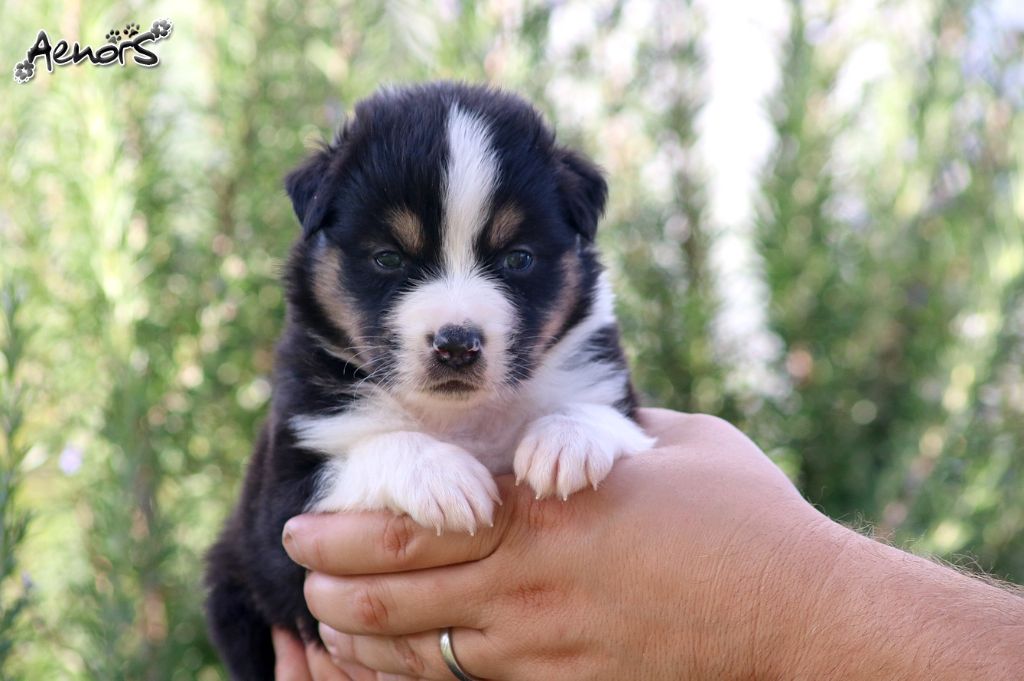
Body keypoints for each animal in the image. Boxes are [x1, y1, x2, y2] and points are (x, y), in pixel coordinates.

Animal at [204, 81, 655, 679]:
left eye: (518, 258)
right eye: (388, 258)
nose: (456, 344)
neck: (461, 418)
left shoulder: (608, 385)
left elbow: (604, 415)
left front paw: (566, 442)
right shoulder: (283, 497)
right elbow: (375, 448)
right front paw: (442, 476)